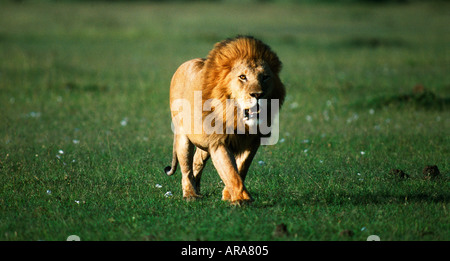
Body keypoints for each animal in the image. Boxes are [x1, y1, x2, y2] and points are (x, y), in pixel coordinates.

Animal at [164, 36, 284, 203]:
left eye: (265, 77)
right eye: (242, 77)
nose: (257, 95)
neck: (236, 117)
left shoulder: (252, 142)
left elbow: (241, 168)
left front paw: (228, 196)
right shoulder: (218, 142)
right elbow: (230, 170)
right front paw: (242, 199)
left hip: (202, 143)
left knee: (197, 162)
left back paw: (197, 189)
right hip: (183, 136)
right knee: (186, 168)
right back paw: (190, 194)